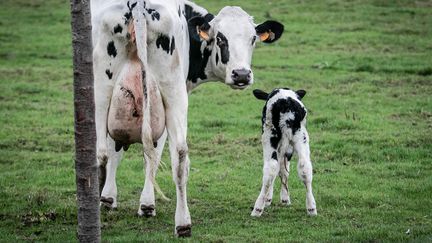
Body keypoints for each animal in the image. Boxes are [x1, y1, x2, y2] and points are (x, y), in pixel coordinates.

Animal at [90, 0, 284, 236]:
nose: (242, 74)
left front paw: (125, 201)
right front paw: (115, 199)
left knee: (116, 153)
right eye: (220, 38)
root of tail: (138, 5)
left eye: (253, 38)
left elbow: (138, 153)